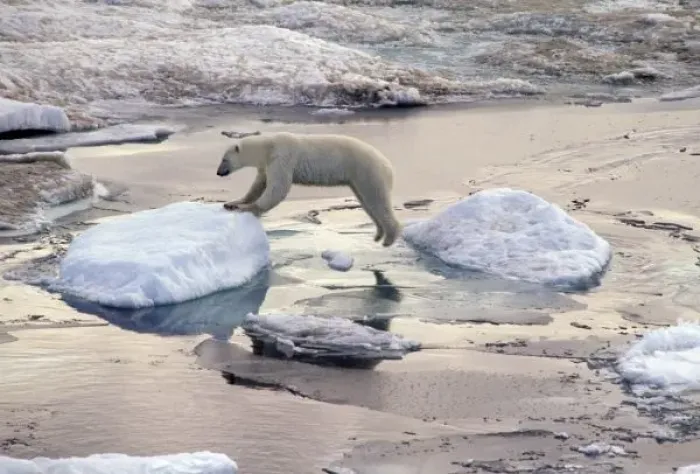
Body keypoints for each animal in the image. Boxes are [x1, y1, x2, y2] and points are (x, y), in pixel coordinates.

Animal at [216, 131, 402, 247]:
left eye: (224, 160)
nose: (218, 172)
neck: (268, 147)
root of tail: (388, 165)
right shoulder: (267, 164)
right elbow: (258, 185)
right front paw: (232, 203)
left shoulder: (282, 158)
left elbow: (278, 187)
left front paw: (247, 208)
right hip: (359, 180)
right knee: (369, 204)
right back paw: (378, 234)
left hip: (366, 172)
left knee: (377, 200)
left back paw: (389, 237)